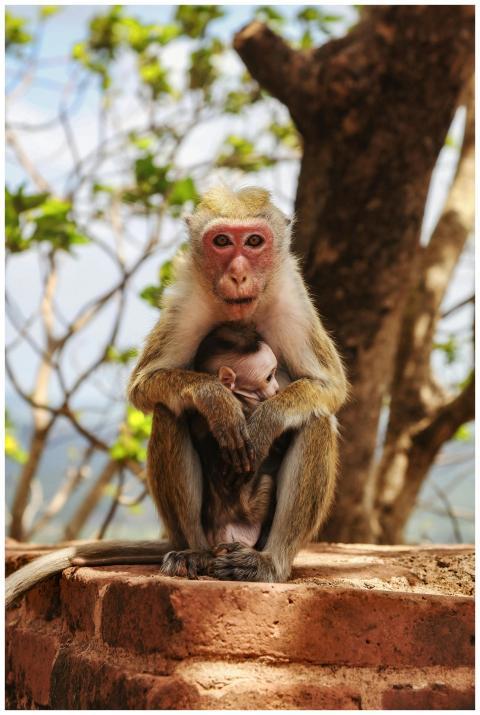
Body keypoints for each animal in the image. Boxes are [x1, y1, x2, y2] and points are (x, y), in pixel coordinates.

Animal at [5, 185, 347, 606]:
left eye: (254, 242)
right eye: (221, 241)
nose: (238, 273)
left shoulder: (292, 300)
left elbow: (329, 387)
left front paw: (266, 421)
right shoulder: (186, 301)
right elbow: (145, 386)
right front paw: (216, 400)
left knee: (316, 419)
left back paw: (269, 562)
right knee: (169, 412)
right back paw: (194, 553)